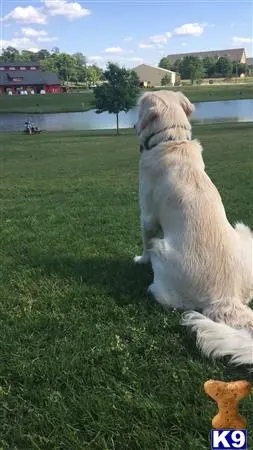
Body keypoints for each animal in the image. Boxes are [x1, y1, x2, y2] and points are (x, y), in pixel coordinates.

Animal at [134, 89, 251, 370]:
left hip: (162, 250)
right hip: (244, 232)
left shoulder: (147, 216)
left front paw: (140, 260)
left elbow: (144, 240)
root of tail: (226, 298)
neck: (171, 140)